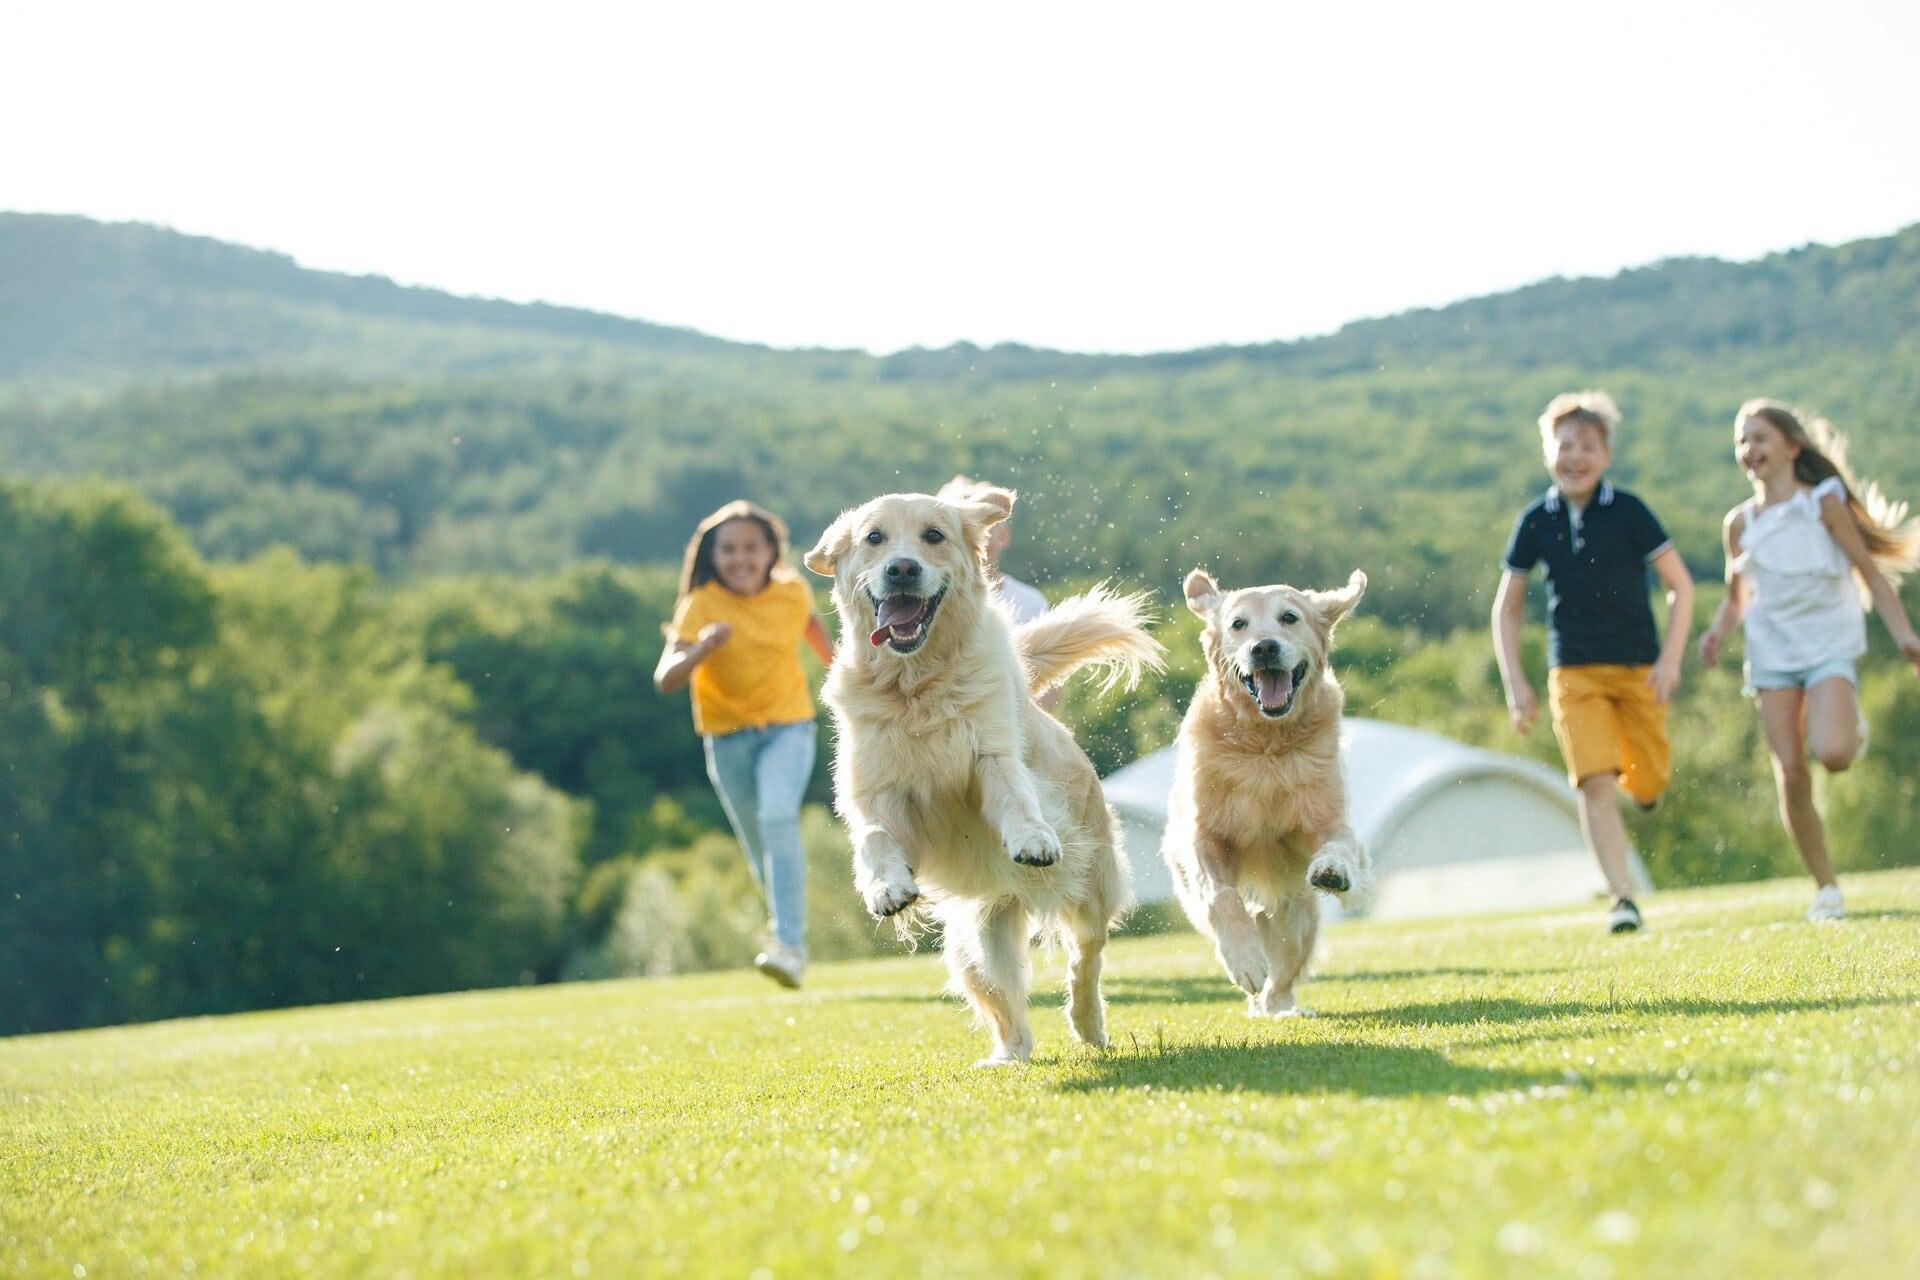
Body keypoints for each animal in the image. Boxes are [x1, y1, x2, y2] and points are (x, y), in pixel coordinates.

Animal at [806, 485, 1159, 1066]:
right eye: (874, 538)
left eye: (934, 535)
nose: (902, 569)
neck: (915, 685)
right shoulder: (871, 790)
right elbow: (874, 837)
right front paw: (886, 888)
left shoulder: (991, 755)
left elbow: (1014, 795)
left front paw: (1033, 839)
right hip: (975, 941)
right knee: (1005, 1001)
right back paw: (1008, 1055)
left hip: (1090, 884)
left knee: (1086, 959)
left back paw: (1089, 1025)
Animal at [1159, 564, 1374, 1013]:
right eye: (1238, 624)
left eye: (1289, 617)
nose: (1263, 648)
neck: (1266, 746)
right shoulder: (1204, 836)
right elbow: (1220, 896)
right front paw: (1244, 958)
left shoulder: (1327, 818)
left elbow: (1339, 844)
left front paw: (1333, 869)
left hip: (1297, 918)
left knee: (1282, 980)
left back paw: (1282, 1010)